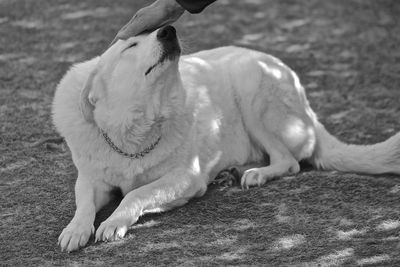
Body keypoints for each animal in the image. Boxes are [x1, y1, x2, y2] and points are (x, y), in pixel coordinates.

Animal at [53, 26, 400, 252]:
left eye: (150, 33)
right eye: (130, 47)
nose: (169, 30)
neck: (132, 132)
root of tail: (308, 108)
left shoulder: (187, 178)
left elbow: (135, 195)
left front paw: (113, 222)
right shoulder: (91, 179)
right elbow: (84, 203)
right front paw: (76, 229)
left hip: (251, 88)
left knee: (289, 162)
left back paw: (256, 174)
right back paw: (233, 170)